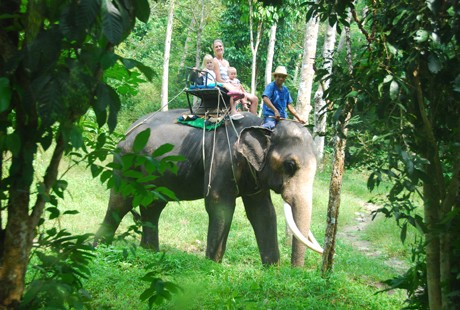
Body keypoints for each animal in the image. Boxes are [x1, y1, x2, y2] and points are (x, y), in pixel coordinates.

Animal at [94, 108, 324, 266]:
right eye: (290, 165)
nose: (294, 270)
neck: (262, 124)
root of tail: (127, 131)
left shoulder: (254, 176)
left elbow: (263, 212)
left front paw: (272, 270)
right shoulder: (222, 160)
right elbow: (219, 205)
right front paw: (212, 265)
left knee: (153, 206)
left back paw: (150, 252)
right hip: (125, 163)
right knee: (120, 202)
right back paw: (98, 249)